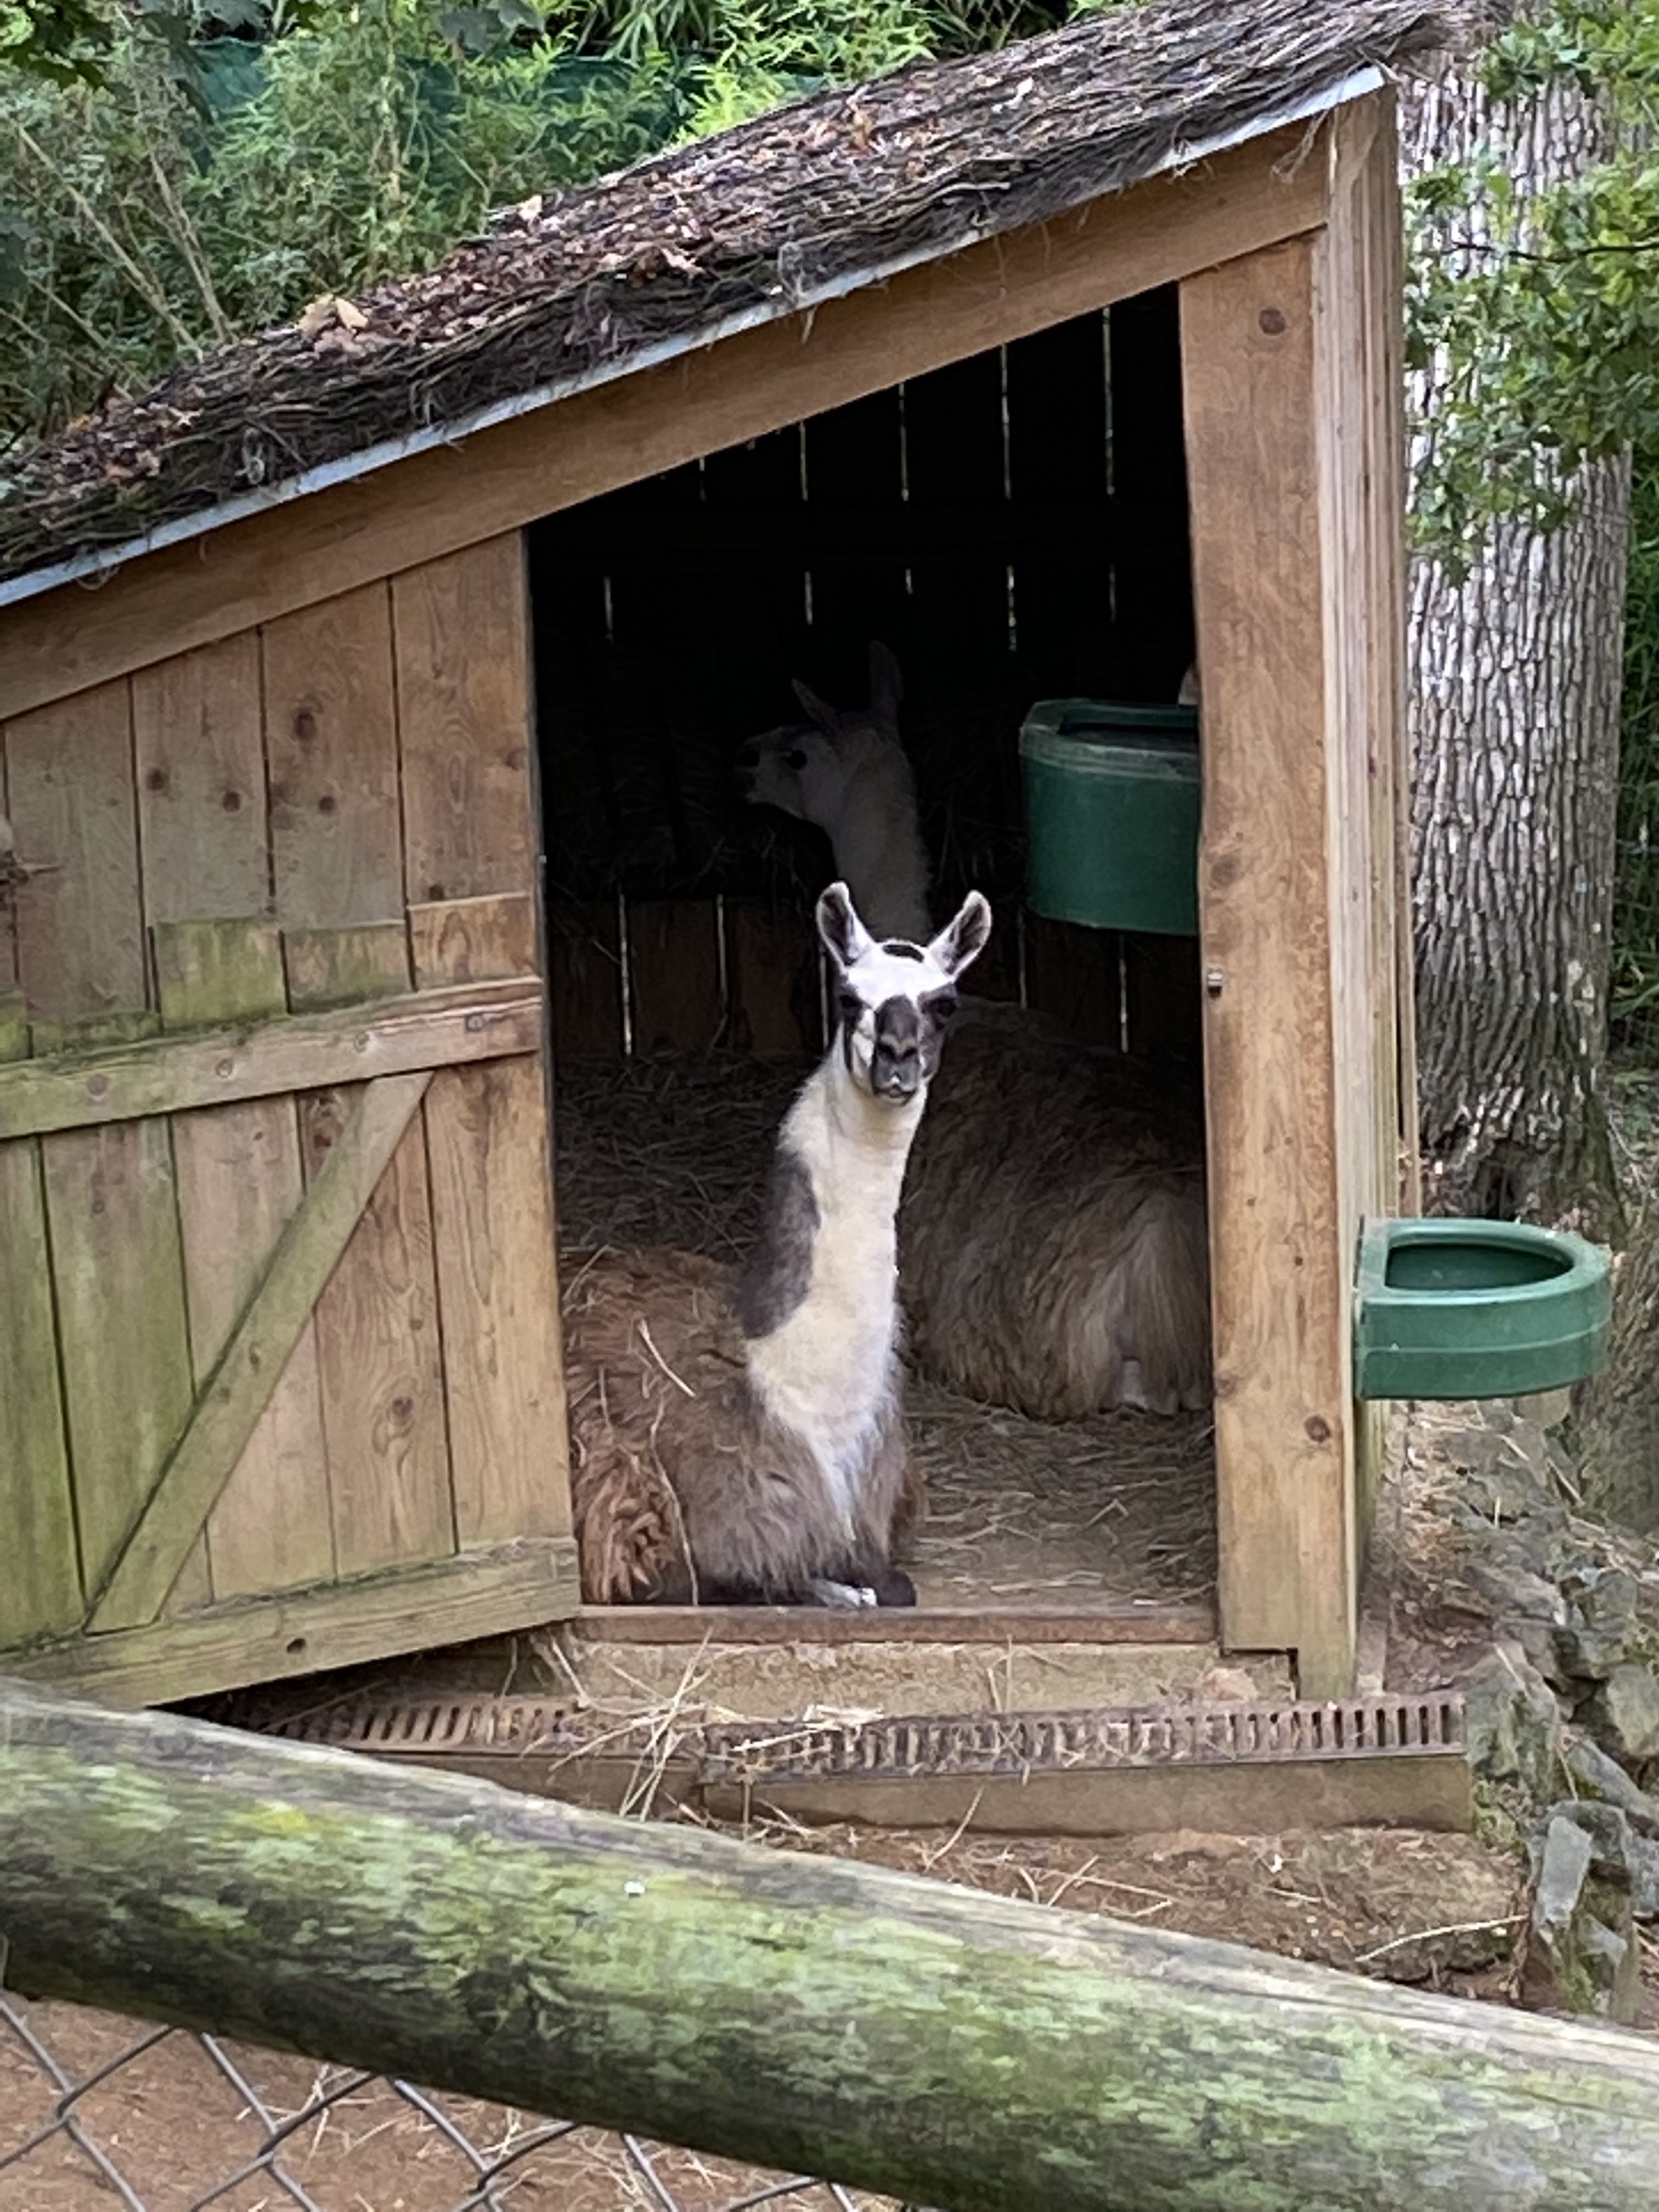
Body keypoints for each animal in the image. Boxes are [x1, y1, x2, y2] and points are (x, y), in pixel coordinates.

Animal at [565, 879, 991, 1608]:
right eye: (848, 996)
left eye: (944, 1004)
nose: (897, 1057)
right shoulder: (663, 1536)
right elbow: (770, 1581)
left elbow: (890, 1585)